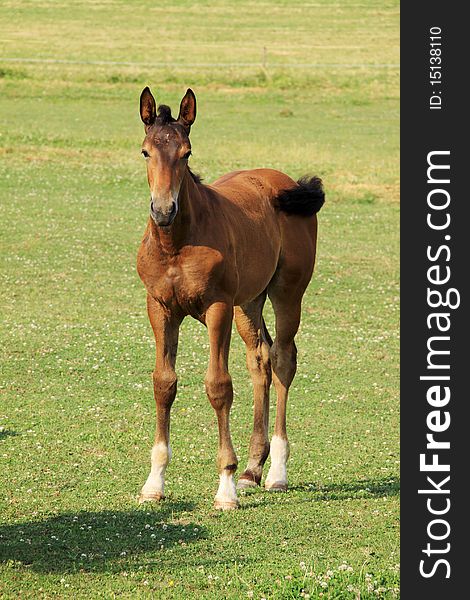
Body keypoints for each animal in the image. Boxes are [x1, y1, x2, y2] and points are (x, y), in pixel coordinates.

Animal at [137, 86, 324, 508]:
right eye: (145, 151)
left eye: (186, 153)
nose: (163, 210)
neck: (177, 243)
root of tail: (283, 182)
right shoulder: (159, 308)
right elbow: (164, 384)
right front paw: (154, 482)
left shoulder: (217, 307)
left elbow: (218, 386)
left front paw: (225, 486)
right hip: (249, 302)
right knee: (260, 359)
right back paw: (253, 469)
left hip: (287, 292)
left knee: (283, 358)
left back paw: (276, 473)